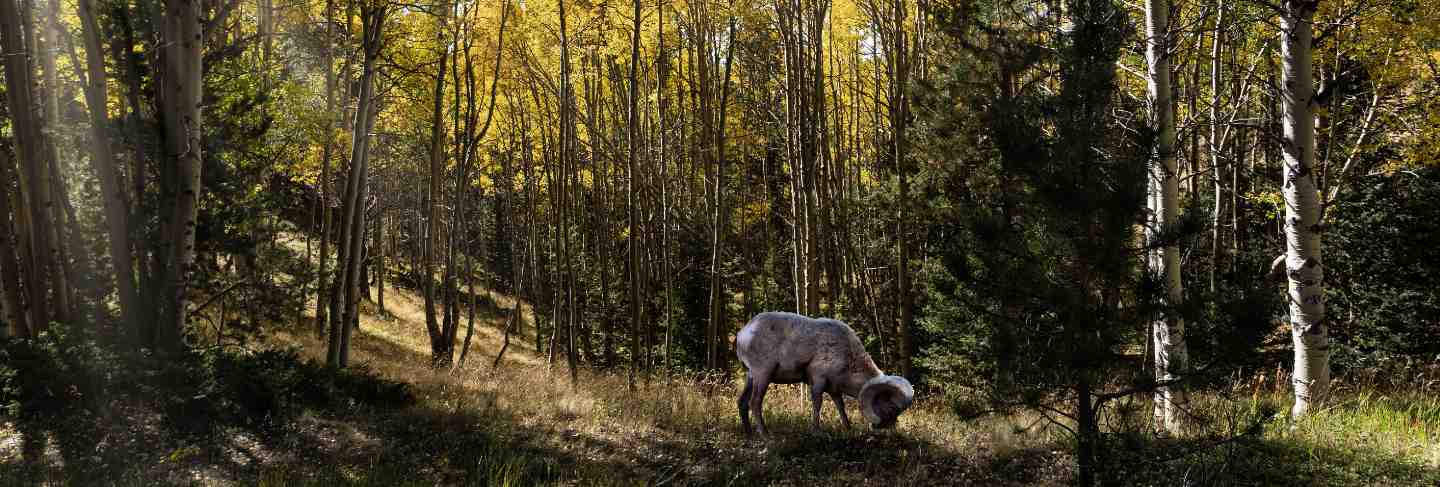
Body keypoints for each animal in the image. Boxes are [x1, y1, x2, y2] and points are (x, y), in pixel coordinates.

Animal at [737, 314, 915, 435]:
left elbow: (841, 407)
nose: (887, 429)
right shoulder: (818, 381)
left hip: (751, 377)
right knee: (754, 403)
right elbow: (817, 404)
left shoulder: (833, 388)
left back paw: (749, 434)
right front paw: (816, 431)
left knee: (742, 402)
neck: (848, 355)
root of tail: (742, 334)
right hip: (763, 375)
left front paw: (848, 428)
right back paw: (765, 434)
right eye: (891, 407)